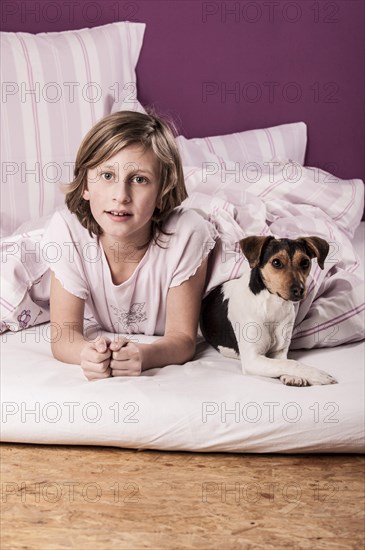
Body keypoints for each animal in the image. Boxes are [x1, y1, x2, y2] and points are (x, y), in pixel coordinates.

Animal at [200, 237, 336, 388]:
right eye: (276, 262)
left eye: (305, 262)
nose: (299, 290)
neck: (273, 306)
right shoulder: (252, 359)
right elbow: (290, 363)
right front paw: (316, 374)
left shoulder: (279, 351)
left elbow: (284, 362)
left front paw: (291, 377)